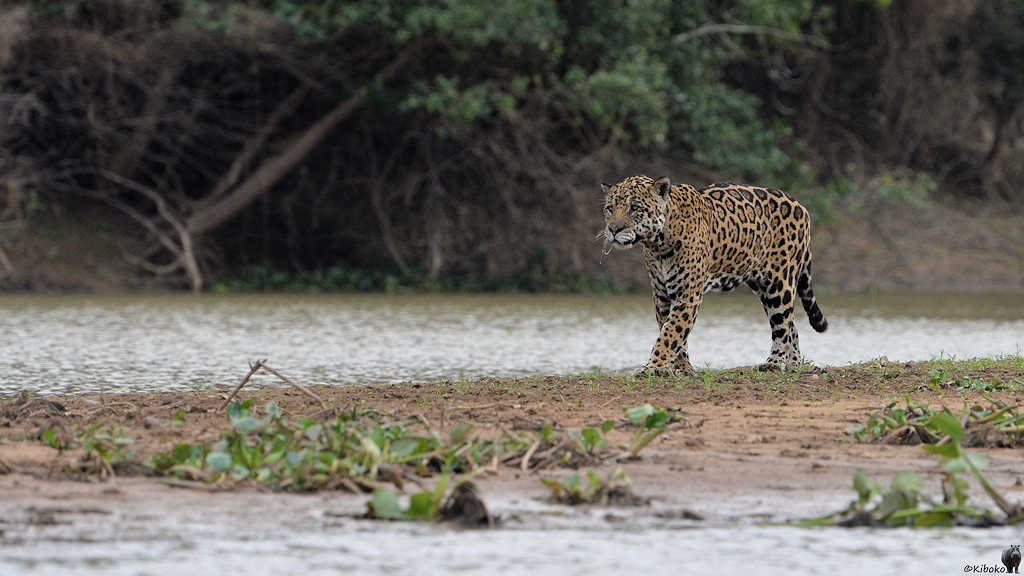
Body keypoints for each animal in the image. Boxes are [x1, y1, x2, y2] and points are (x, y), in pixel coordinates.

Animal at [600, 174, 828, 376]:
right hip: (762, 286)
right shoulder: (662, 294)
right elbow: (674, 333)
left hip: (779, 284)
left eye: (634, 208)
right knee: (791, 324)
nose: (613, 229)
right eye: (610, 209)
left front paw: (653, 367)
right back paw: (793, 364)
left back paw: (774, 363)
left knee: (782, 326)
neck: (658, 244)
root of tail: (801, 206)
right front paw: (681, 368)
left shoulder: (688, 293)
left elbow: (671, 332)